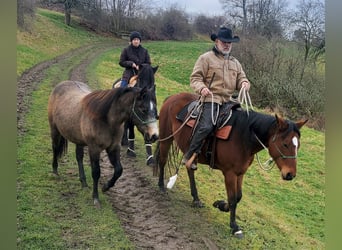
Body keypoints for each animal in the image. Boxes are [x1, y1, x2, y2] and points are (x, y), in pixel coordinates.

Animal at [155, 92, 308, 238]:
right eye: (285, 144)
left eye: (298, 145)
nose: (290, 174)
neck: (244, 136)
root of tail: (172, 98)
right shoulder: (229, 173)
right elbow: (233, 198)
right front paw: (234, 227)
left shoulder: (240, 172)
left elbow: (238, 196)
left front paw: (220, 205)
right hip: (166, 138)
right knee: (162, 160)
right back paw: (161, 186)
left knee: (189, 169)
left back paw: (196, 199)